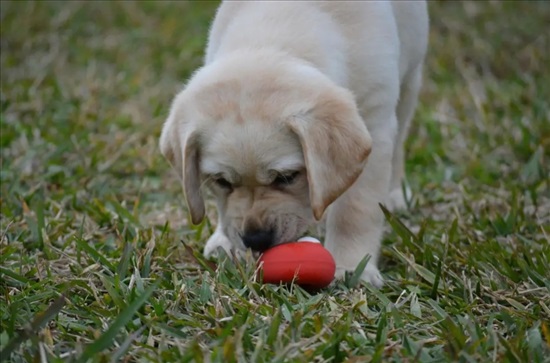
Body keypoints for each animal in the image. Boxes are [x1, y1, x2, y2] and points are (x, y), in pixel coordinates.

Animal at [161, 2, 432, 288]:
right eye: (221, 181)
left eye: (287, 177)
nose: (256, 240)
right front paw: (224, 241)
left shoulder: (374, 121)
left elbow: (355, 210)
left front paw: (351, 267)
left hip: (410, 78)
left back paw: (394, 195)